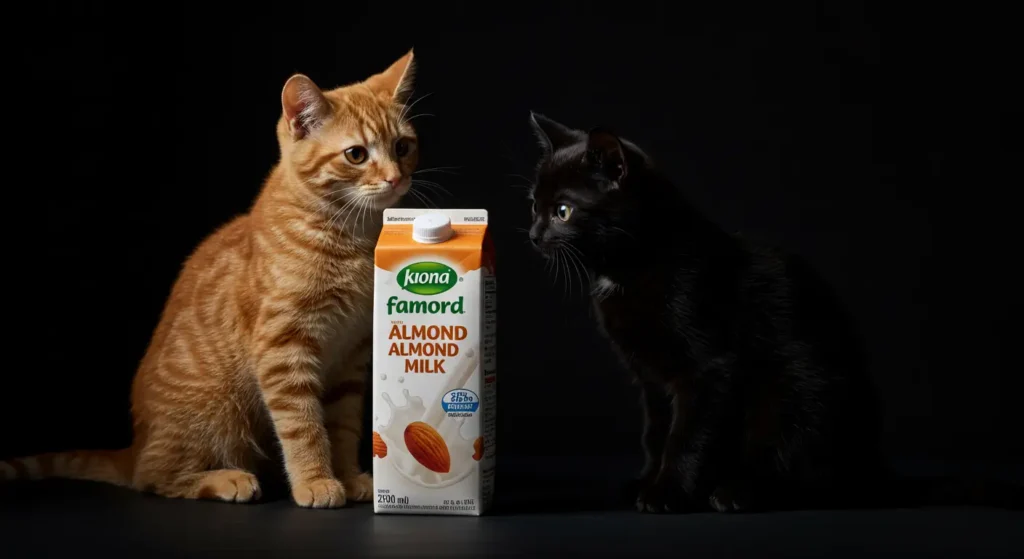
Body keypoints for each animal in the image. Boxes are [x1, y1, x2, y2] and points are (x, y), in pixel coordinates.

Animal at [0, 51, 417, 503]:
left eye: (402, 146)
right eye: (356, 155)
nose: (396, 177)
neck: (350, 236)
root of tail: (135, 444)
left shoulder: (352, 355)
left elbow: (342, 426)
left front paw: (348, 475)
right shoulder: (283, 349)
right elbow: (303, 425)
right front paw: (315, 480)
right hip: (217, 412)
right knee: (152, 476)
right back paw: (225, 478)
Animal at [524, 111, 1019, 511]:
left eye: (563, 210)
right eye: (534, 205)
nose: (532, 234)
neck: (635, 263)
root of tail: (872, 465)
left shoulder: (708, 368)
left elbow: (685, 436)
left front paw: (666, 493)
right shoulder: (650, 377)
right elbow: (657, 434)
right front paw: (647, 481)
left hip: (797, 392)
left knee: (809, 475)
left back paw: (738, 492)